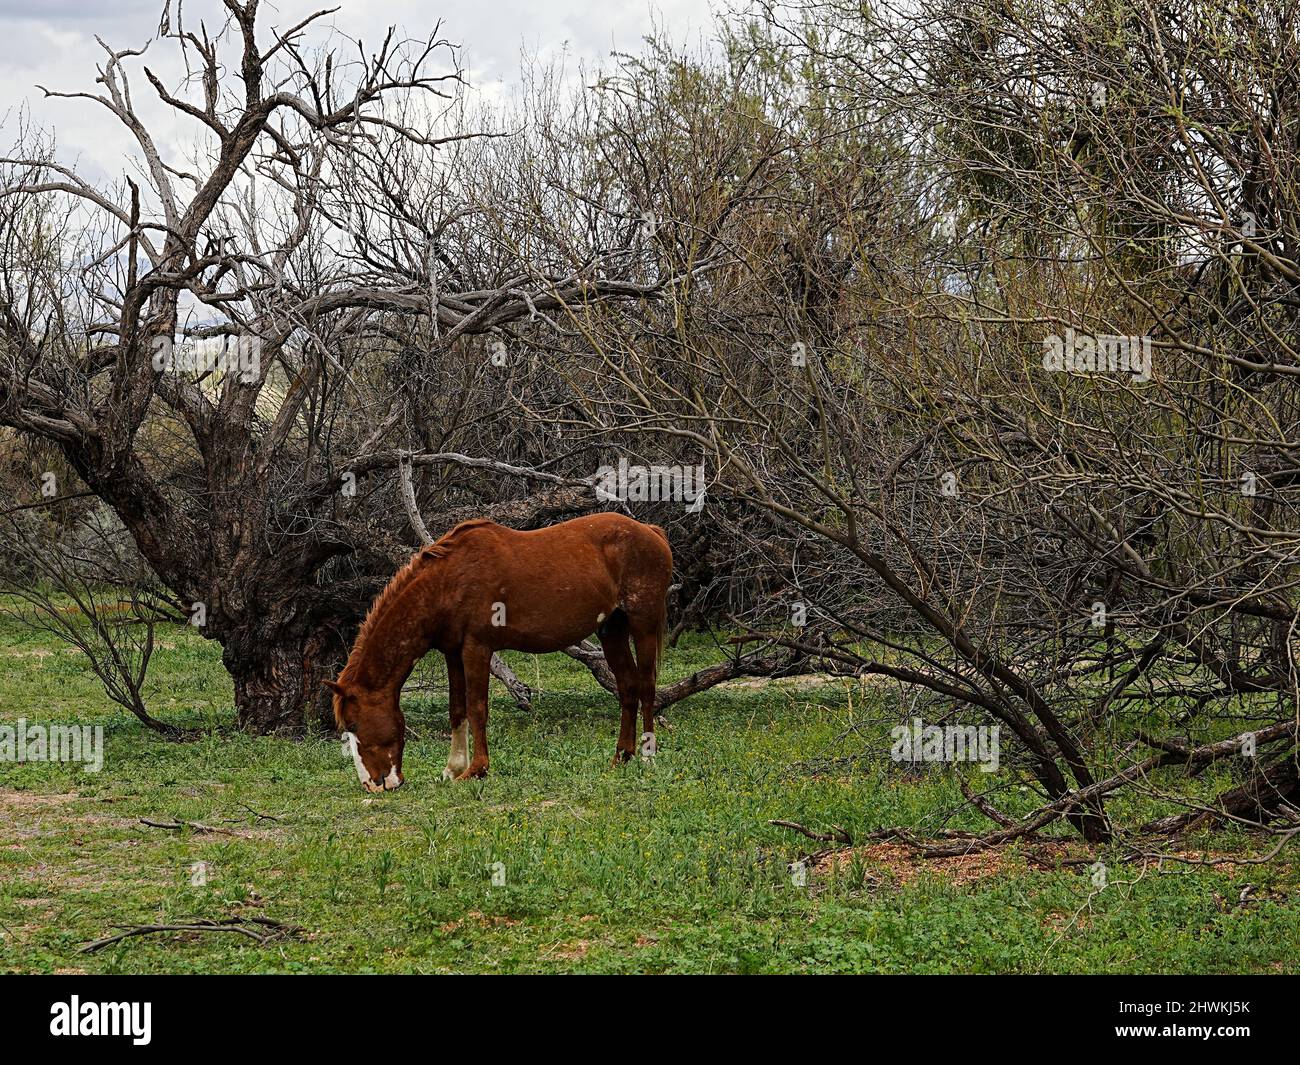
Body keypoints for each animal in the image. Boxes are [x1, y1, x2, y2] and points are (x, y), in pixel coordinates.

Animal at [323, 512, 670, 795]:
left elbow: (477, 708)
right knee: (627, 688)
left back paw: (648, 755)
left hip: (643, 625)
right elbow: (457, 709)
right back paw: (621, 756)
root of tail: (650, 531)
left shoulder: (477, 648)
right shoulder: (453, 652)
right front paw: (453, 769)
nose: (373, 785)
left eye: (353, 725)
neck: (448, 582)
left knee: (647, 686)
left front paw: (477, 769)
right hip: (612, 629)